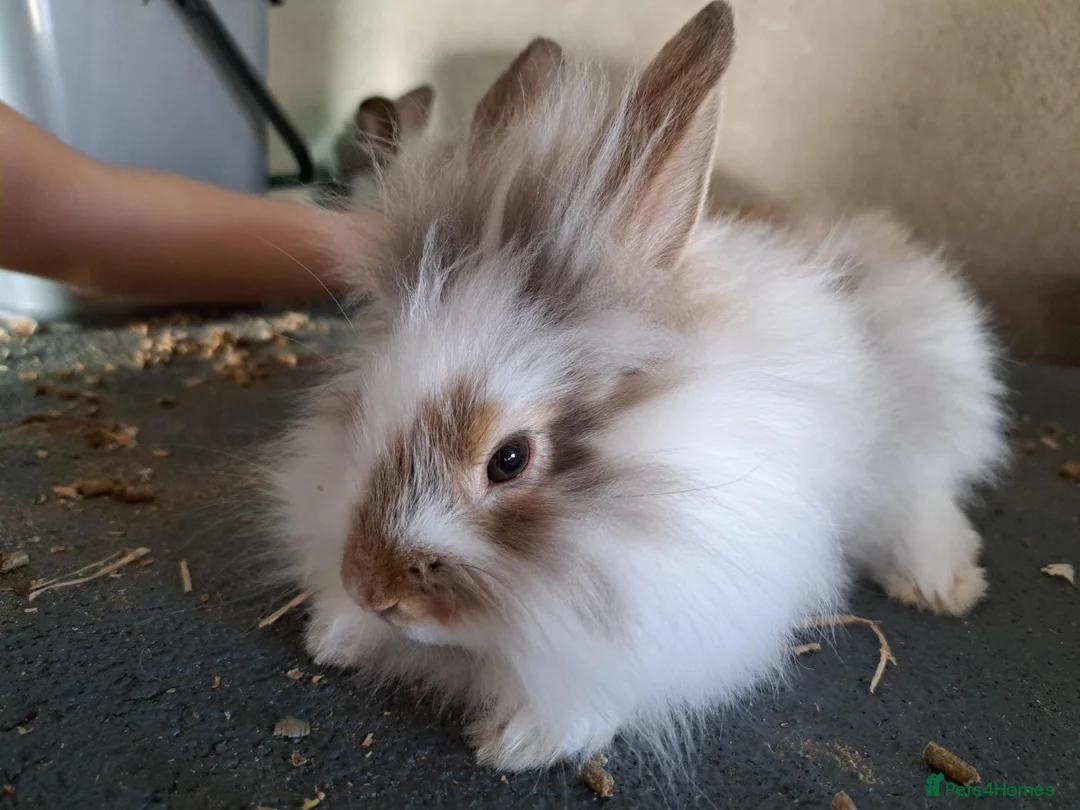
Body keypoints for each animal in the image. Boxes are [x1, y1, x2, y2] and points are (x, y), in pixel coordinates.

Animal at [265, 1, 1006, 773]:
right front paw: (337, 636)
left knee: (924, 499)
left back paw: (942, 584)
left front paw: (524, 738)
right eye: (364, 405)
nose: (371, 589)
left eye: (509, 460)